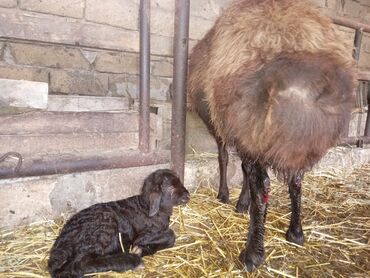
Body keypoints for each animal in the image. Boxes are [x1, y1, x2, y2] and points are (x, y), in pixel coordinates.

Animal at [188, 0, 356, 272]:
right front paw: (242, 203)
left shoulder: (225, 126)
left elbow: (226, 159)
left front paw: (228, 197)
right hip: (298, 140)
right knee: (296, 182)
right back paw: (295, 233)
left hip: (254, 129)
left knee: (263, 185)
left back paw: (252, 253)